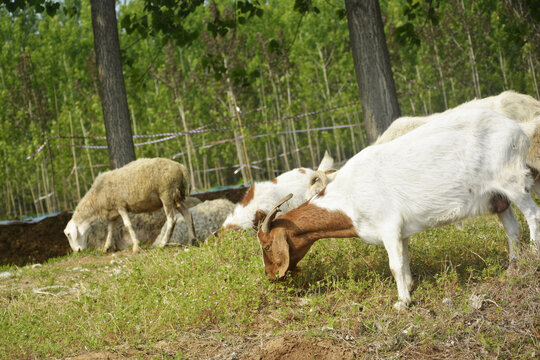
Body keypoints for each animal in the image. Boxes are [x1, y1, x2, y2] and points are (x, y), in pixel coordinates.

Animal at [65, 158, 196, 253]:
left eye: (68, 234)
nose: (78, 251)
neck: (96, 198)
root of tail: (180, 166)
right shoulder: (113, 212)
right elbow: (110, 230)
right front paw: (106, 248)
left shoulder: (120, 206)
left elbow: (128, 225)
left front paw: (136, 247)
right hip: (175, 196)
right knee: (187, 213)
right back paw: (192, 240)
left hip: (167, 194)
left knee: (171, 219)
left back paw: (162, 244)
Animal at [256, 108, 540, 310]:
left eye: (268, 246)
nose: (271, 276)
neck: (348, 198)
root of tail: (518, 130)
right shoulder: (400, 232)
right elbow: (405, 261)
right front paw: (411, 287)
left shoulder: (388, 226)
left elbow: (394, 265)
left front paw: (402, 302)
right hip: (497, 197)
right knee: (512, 230)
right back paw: (512, 268)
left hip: (512, 181)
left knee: (533, 215)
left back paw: (534, 257)